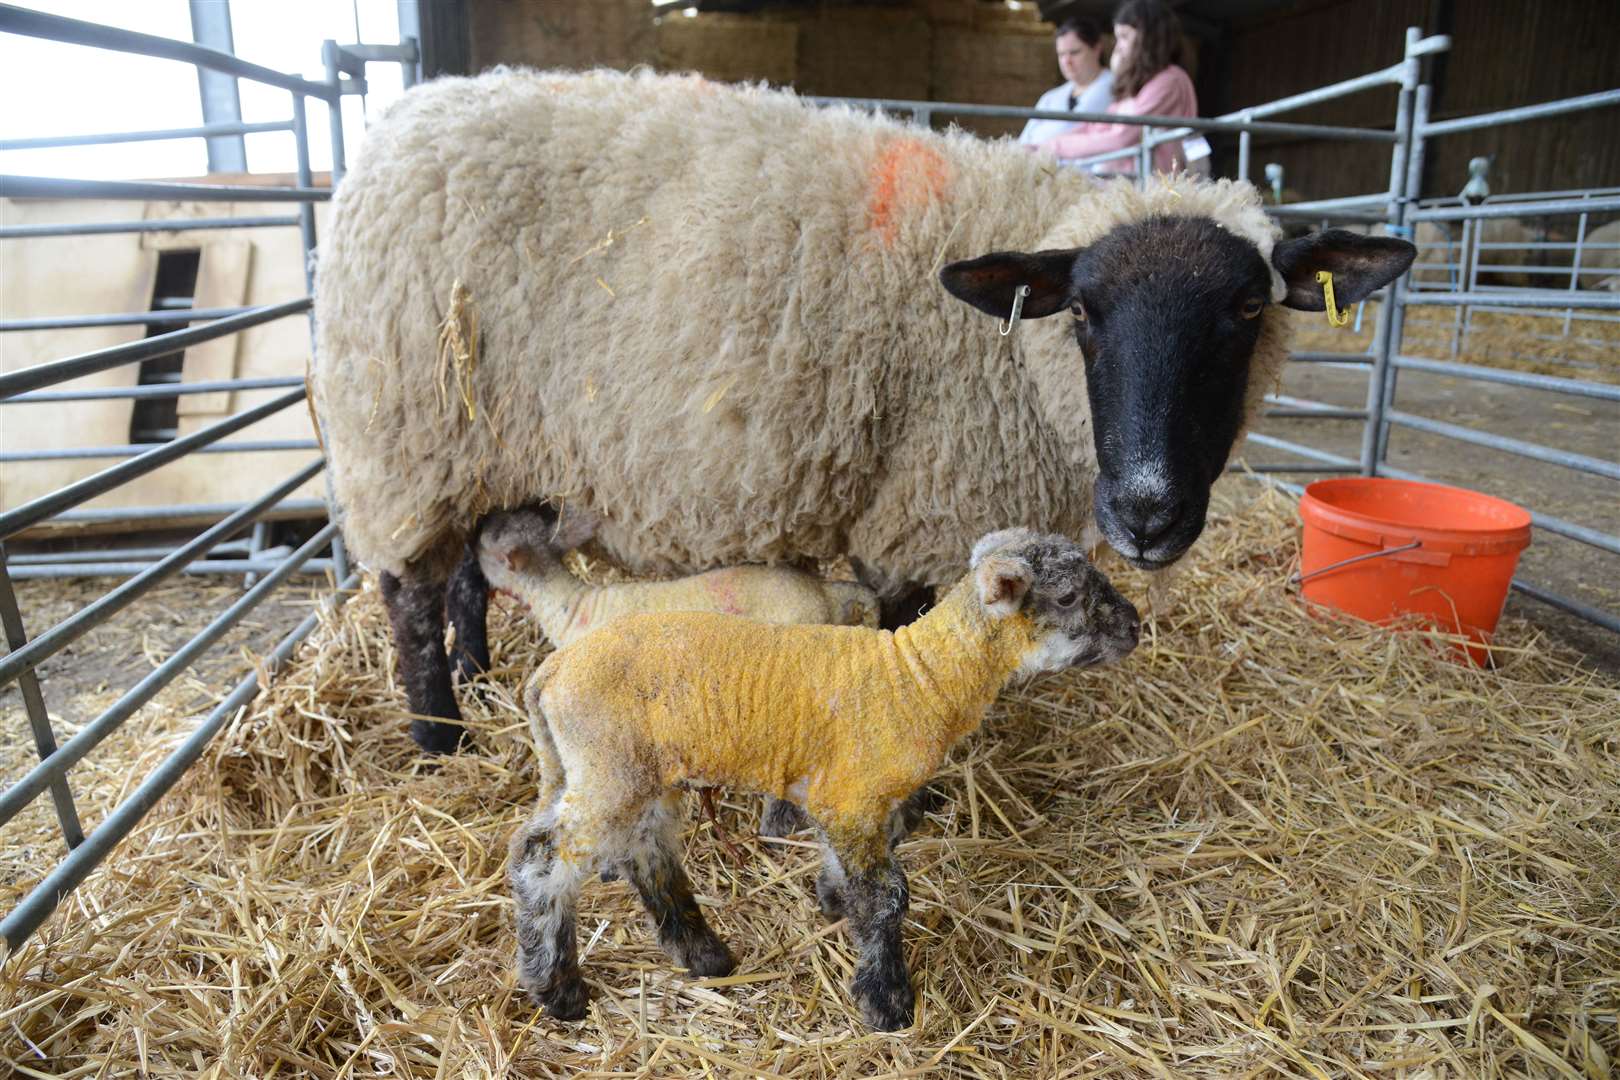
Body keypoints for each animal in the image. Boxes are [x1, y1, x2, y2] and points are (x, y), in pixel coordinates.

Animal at [309, 65, 1412, 751]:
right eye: (1083, 310)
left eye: (1247, 308)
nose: (1147, 511)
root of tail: (394, 126)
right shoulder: (918, 502)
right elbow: (903, 631)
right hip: (401, 435)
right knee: (409, 596)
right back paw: (438, 737)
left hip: (477, 448)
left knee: (465, 572)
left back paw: (478, 677)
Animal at [505, 527, 1140, 1036]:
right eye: (1068, 596)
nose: (1135, 627)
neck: (918, 678)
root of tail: (549, 675)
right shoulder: (854, 801)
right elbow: (888, 897)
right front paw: (887, 1003)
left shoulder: (850, 800)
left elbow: (854, 868)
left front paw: (833, 902)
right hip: (610, 767)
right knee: (542, 861)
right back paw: (558, 991)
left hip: (631, 771)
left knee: (644, 850)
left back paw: (704, 955)